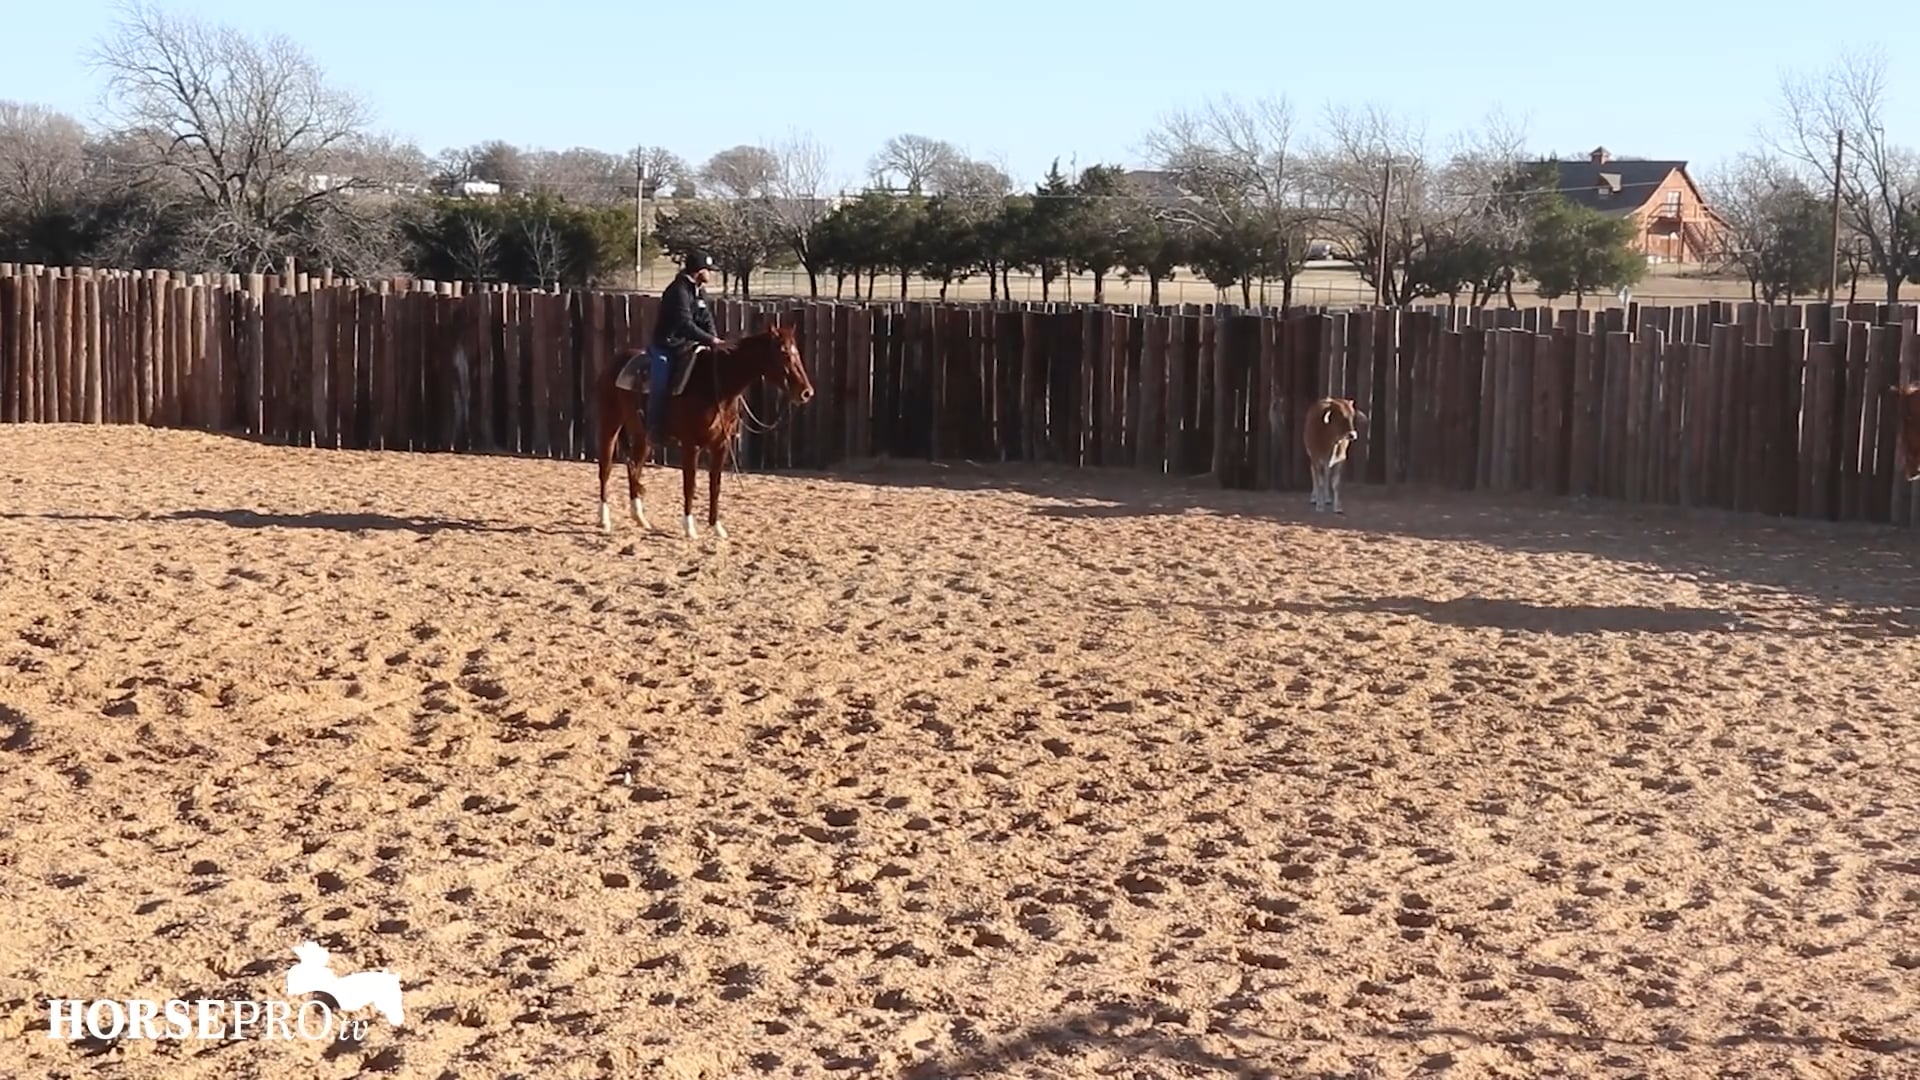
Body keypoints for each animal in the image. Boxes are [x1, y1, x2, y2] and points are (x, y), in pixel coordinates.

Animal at [593, 323, 814, 539]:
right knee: (606, 468)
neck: (716, 385)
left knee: (634, 467)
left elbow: (715, 486)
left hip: (643, 437)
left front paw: (716, 527)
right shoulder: (691, 445)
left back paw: (640, 518)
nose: (806, 392)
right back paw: (604, 519)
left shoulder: (720, 446)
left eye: (797, 353)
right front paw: (689, 528)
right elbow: (690, 485)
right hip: (609, 425)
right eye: (784, 354)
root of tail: (613, 363)